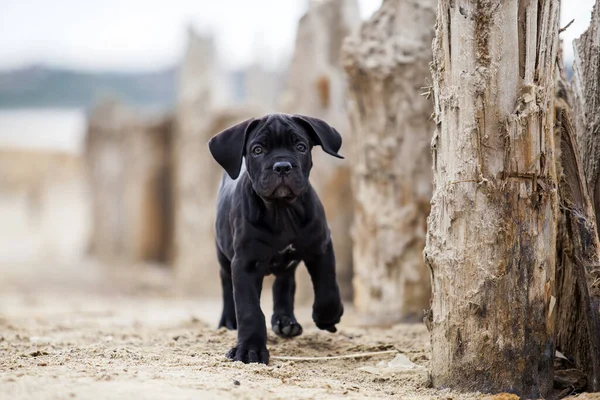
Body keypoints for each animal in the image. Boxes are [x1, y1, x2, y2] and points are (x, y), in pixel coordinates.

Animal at [209, 113, 344, 366]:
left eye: (301, 147)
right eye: (258, 150)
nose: (282, 166)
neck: (282, 211)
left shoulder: (320, 246)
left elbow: (327, 287)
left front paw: (327, 317)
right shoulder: (245, 264)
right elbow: (249, 310)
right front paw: (249, 350)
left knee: (285, 283)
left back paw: (285, 321)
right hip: (223, 256)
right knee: (226, 285)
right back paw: (228, 322)